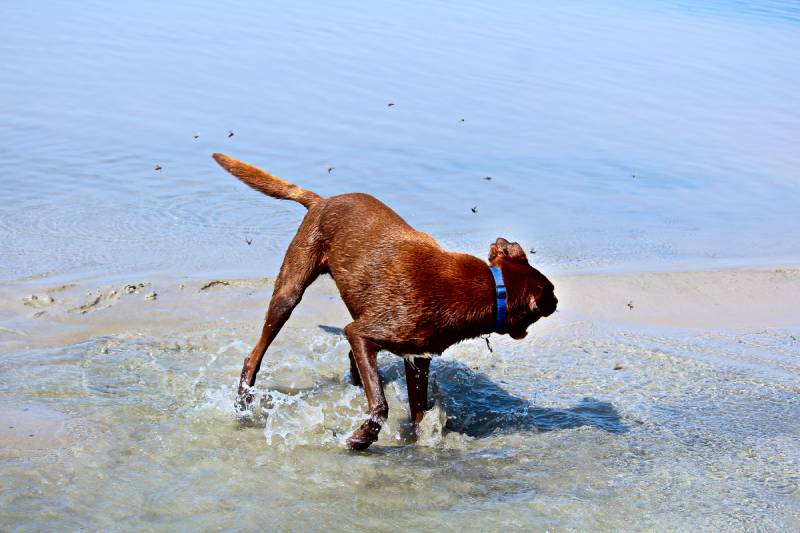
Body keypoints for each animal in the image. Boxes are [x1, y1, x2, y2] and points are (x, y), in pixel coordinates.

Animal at [212, 154, 556, 448]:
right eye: (550, 291)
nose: (556, 301)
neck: (489, 289)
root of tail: (321, 201)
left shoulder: (417, 357)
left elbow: (418, 410)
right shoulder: (365, 334)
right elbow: (380, 402)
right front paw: (362, 437)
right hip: (290, 290)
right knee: (255, 355)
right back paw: (244, 401)